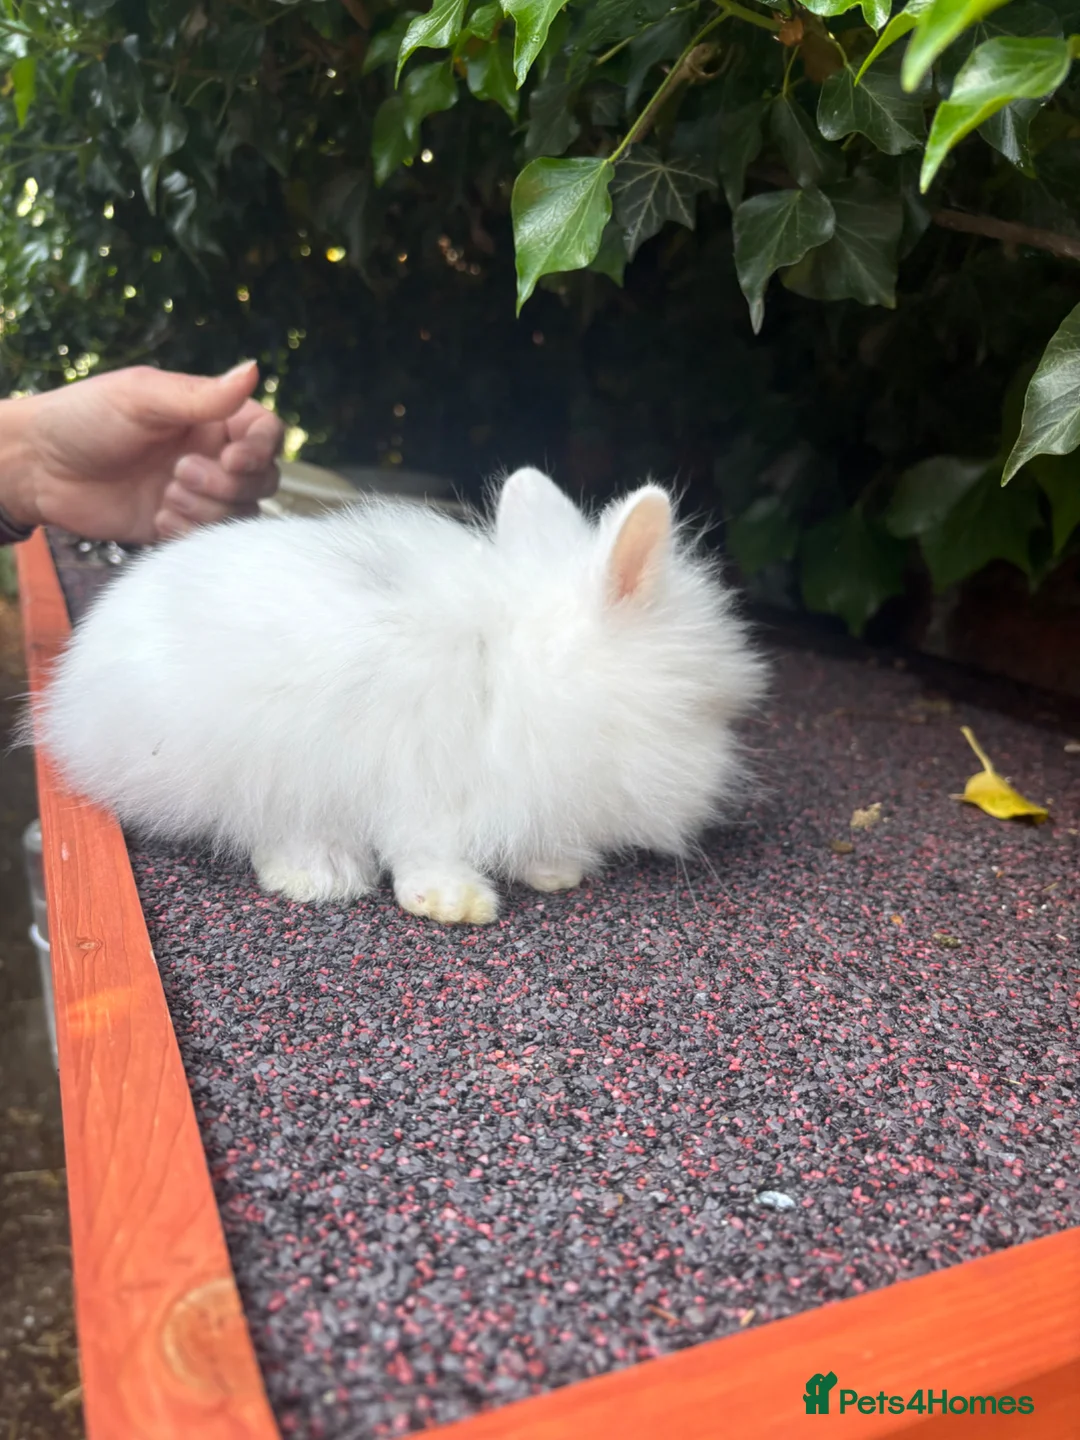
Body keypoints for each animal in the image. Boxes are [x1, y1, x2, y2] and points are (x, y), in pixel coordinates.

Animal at [34, 468, 767, 925]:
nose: (714, 783)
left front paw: (554, 871)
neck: (523, 670)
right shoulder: (429, 785)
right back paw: (319, 876)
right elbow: (425, 848)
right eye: (699, 709)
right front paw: (456, 902)